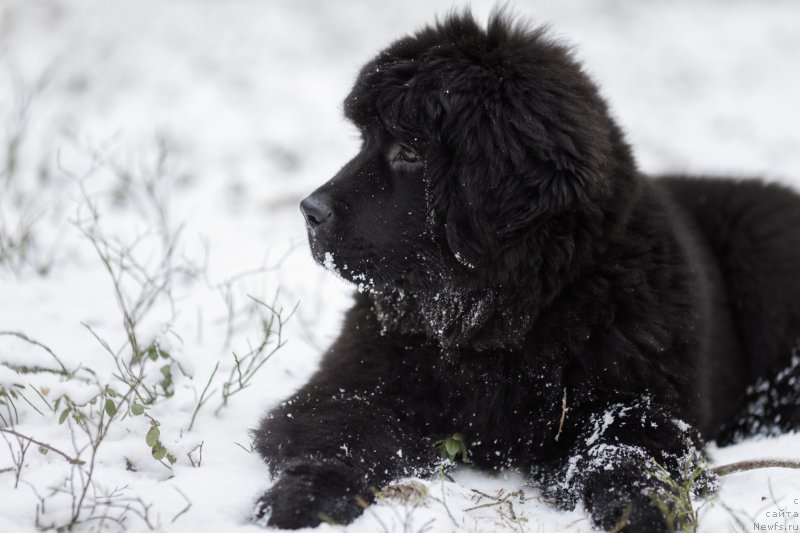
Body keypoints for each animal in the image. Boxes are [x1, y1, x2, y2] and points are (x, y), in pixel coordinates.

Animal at [253, 12, 800, 532]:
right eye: (365, 140)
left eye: (409, 152)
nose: (308, 211)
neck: (496, 318)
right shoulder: (355, 382)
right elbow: (342, 434)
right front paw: (303, 497)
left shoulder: (638, 403)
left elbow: (627, 454)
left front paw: (644, 509)